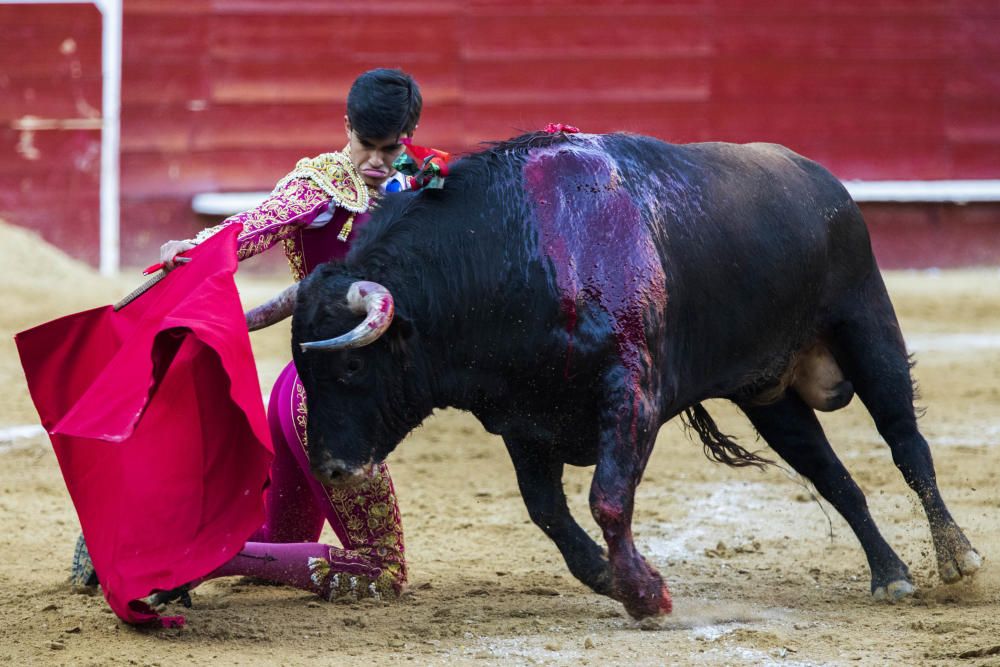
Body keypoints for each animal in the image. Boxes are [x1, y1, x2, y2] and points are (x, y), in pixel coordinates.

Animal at [262, 132, 980, 620]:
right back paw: (890, 573)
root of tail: (821, 178)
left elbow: (607, 497)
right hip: (768, 393)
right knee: (833, 476)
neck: (514, 254)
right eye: (305, 365)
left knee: (906, 441)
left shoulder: (630, 393)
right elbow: (547, 511)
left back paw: (956, 556)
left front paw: (646, 593)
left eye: (354, 363)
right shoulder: (524, 418)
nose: (332, 468)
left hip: (867, 322)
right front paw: (614, 582)